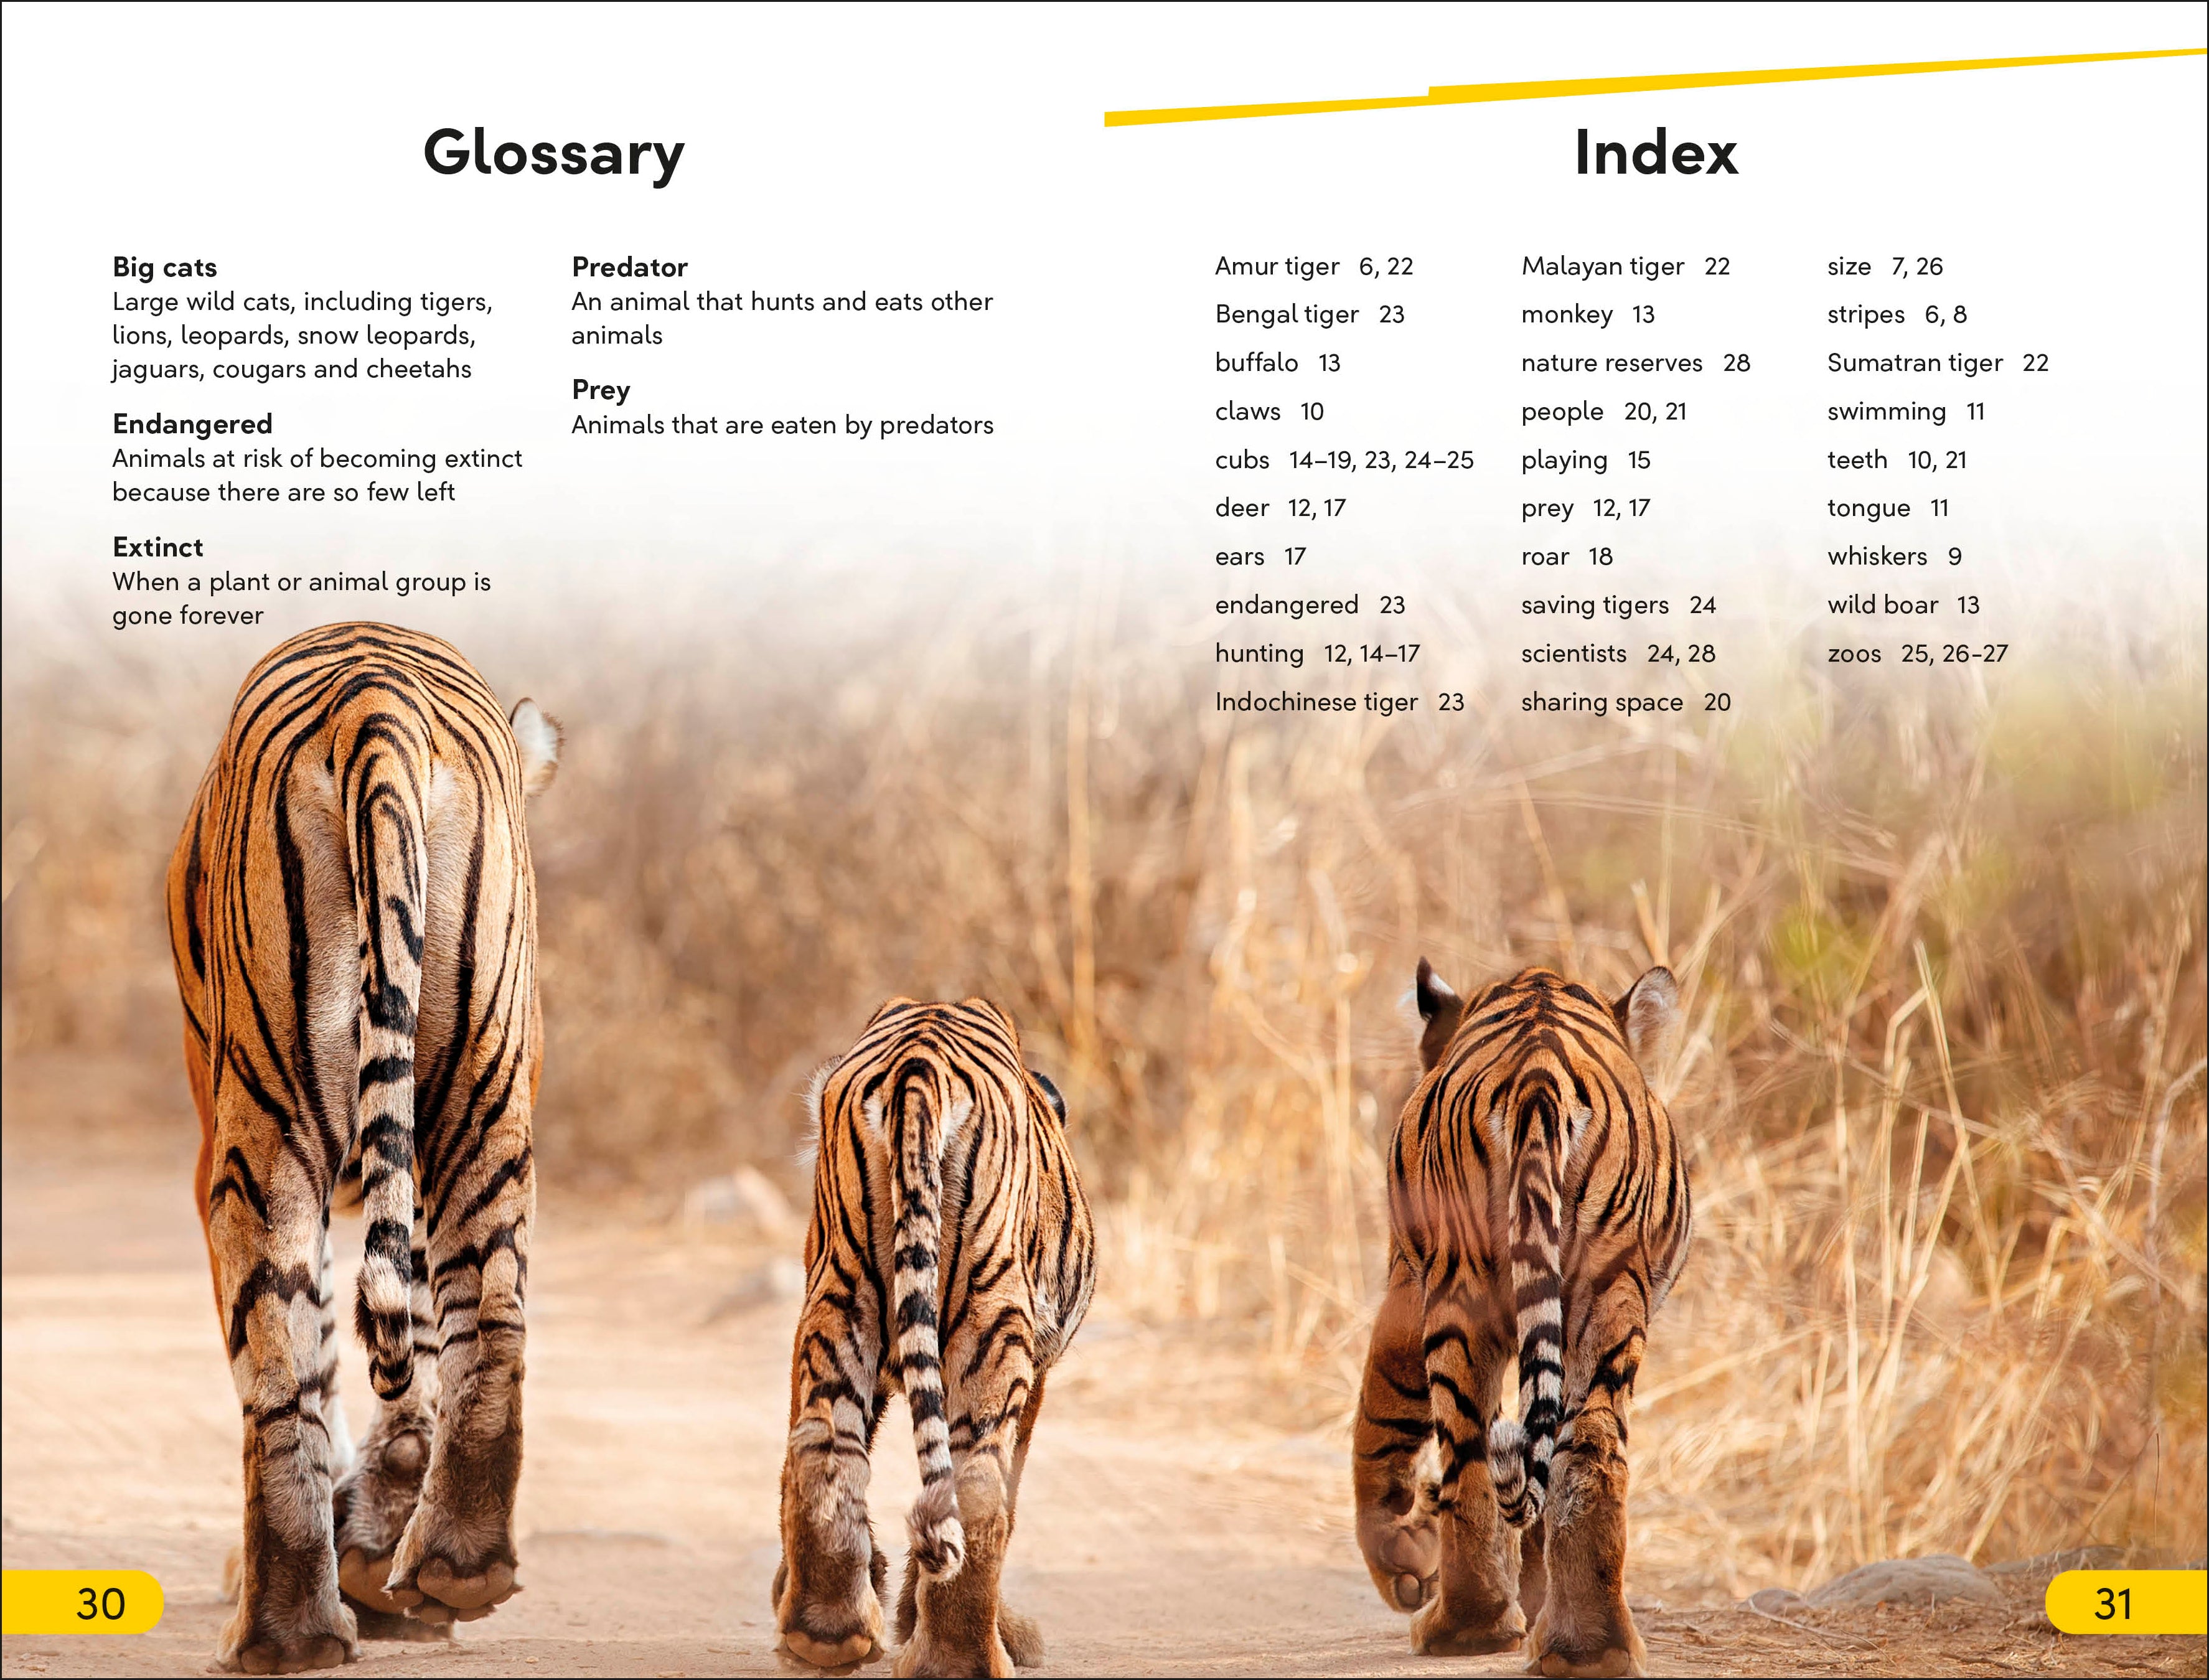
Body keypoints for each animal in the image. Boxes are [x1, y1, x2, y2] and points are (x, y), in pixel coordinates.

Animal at [167, 621, 561, 1674]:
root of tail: (374, 694)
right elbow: (413, 1334)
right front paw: (383, 1544)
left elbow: (326, 1364)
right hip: (483, 1088)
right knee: (490, 1310)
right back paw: (453, 1563)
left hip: (262, 1128)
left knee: (275, 1362)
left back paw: (280, 1626)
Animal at [773, 997, 1097, 1678]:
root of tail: (921, 1056)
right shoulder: (1038, 1368)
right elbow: (1011, 1491)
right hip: (989, 1321)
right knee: (979, 1487)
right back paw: (962, 1658)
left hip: (842, 1298)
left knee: (822, 1446)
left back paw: (825, 1632)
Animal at [1352, 960, 1692, 1679]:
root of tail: (1539, 1075)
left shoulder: (1405, 1281)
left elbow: (1378, 1417)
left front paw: (1402, 1559)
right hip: (1607, 1295)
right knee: (1589, 1451)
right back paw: (1588, 1647)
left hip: (1460, 1290)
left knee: (1468, 1453)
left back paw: (1462, 1626)